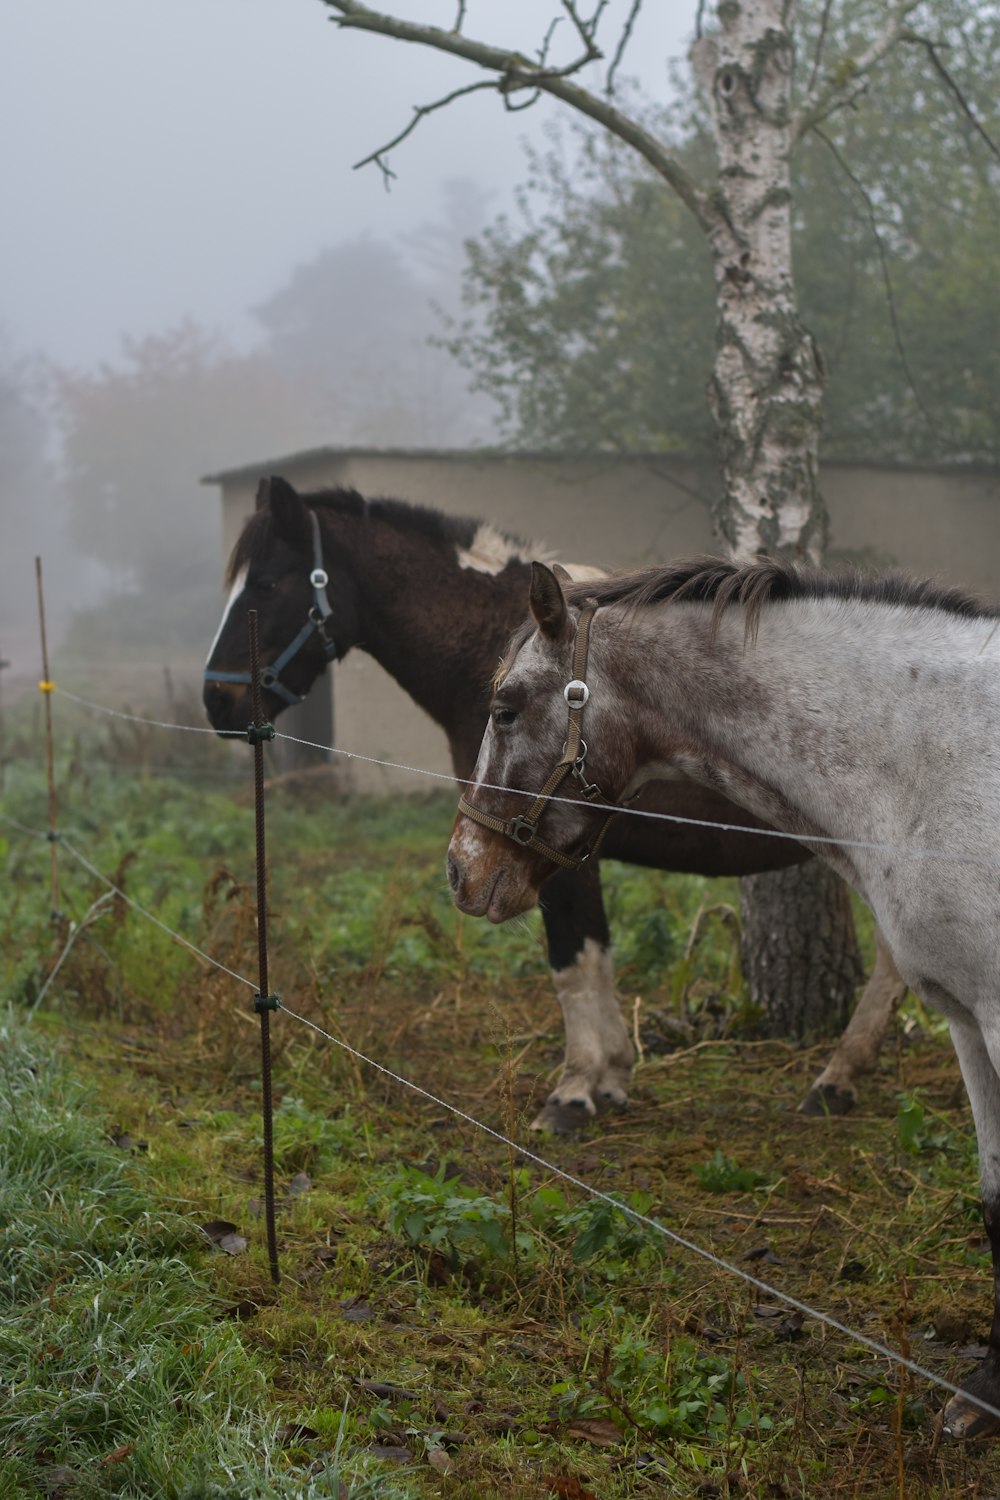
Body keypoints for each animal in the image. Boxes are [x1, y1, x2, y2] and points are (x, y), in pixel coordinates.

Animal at [203, 477, 905, 1128]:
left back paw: (836, 1079)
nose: (216, 702)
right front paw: (611, 1076)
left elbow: (575, 961)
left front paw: (577, 1089)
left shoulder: (551, 847)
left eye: (265, 582)